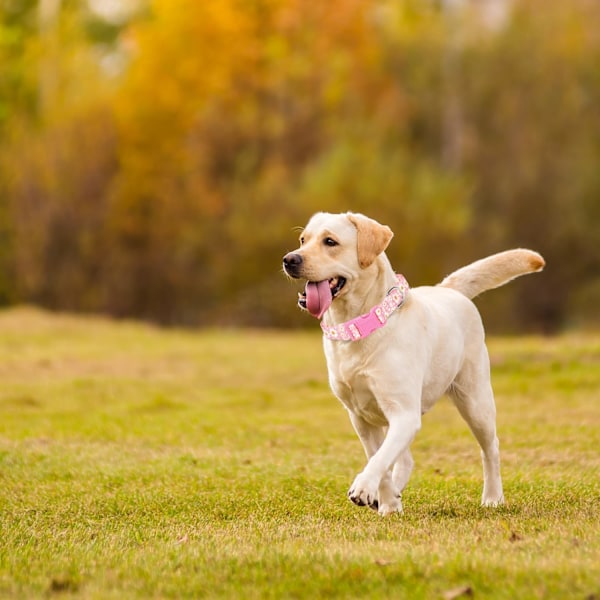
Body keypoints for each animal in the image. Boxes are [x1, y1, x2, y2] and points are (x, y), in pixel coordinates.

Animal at [282, 212, 544, 516]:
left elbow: (380, 458)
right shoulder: (360, 417)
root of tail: (448, 289)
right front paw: (387, 504)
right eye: (303, 240)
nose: (289, 259)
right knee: (405, 458)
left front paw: (364, 487)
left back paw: (492, 497)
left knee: (490, 449)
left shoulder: (404, 413)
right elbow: (381, 458)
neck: (362, 325)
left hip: (475, 401)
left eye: (330, 242)